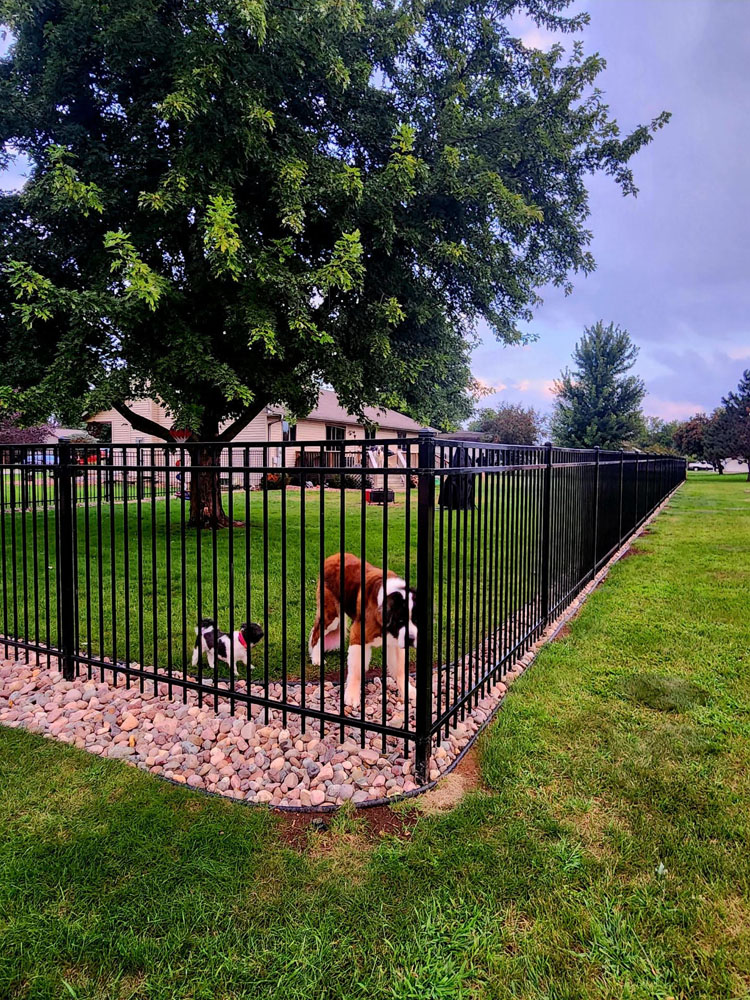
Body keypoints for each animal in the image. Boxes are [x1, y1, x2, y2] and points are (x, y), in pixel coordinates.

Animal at [308, 556, 420, 712]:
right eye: (400, 620)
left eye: (415, 619)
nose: (411, 638)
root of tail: (333, 557)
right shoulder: (358, 636)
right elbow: (356, 671)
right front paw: (352, 696)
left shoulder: (396, 643)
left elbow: (400, 669)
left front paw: (409, 691)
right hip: (331, 616)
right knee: (317, 633)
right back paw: (317, 658)